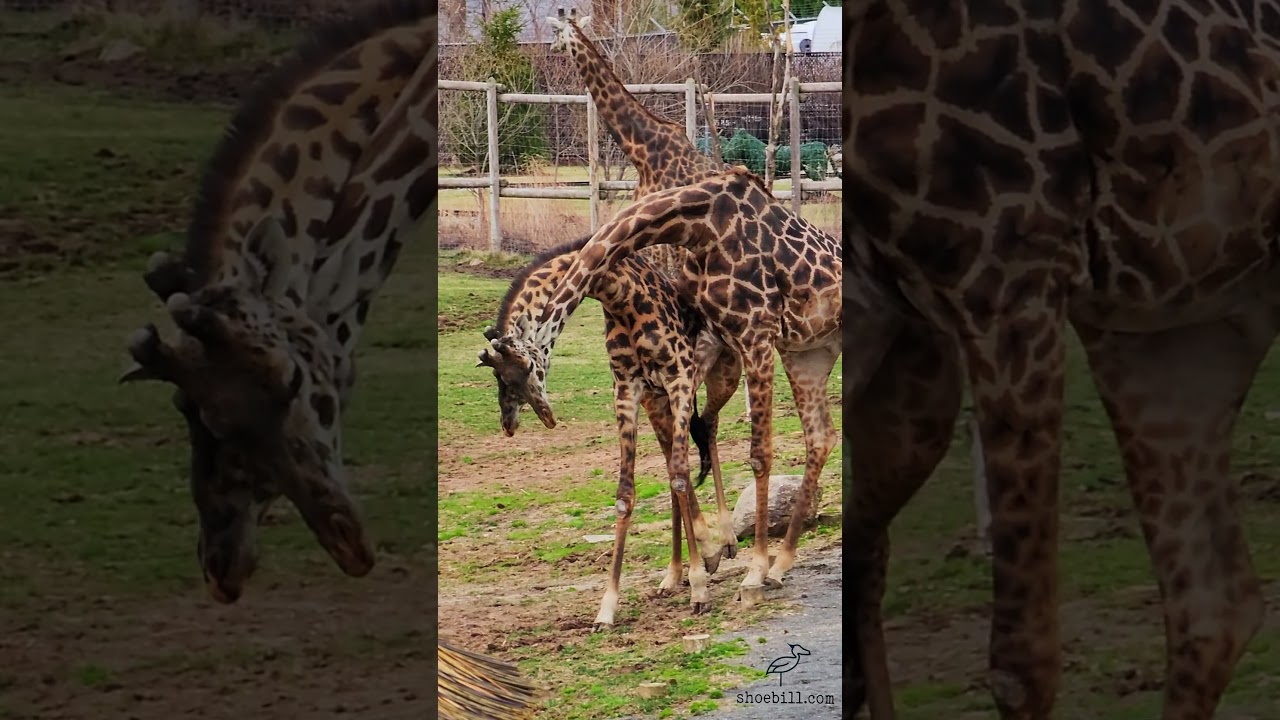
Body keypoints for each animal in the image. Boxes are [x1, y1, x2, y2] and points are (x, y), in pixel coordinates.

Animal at [479, 236, 742, 628]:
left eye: (526, 367)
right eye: (498, 377)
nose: (511, 423)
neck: (621, 296)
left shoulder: (678, 376)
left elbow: (681, 477)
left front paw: (699, 589)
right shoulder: (628, 389)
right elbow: (628, 492)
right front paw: (607, 607)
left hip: (723, 374)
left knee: (710, 430)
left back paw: (731, 542)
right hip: (659, 401)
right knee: (681, 452)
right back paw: (675, 572)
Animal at [497, 169, 841, 608]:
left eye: (523, 371)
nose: (514, 423)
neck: (700, 226)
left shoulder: (755, 337)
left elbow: (758, 455)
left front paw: (750, 576)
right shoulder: (703, 352)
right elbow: (678, 458)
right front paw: (699, 567)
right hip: (809, 354)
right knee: (820, 436)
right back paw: (779, 565)